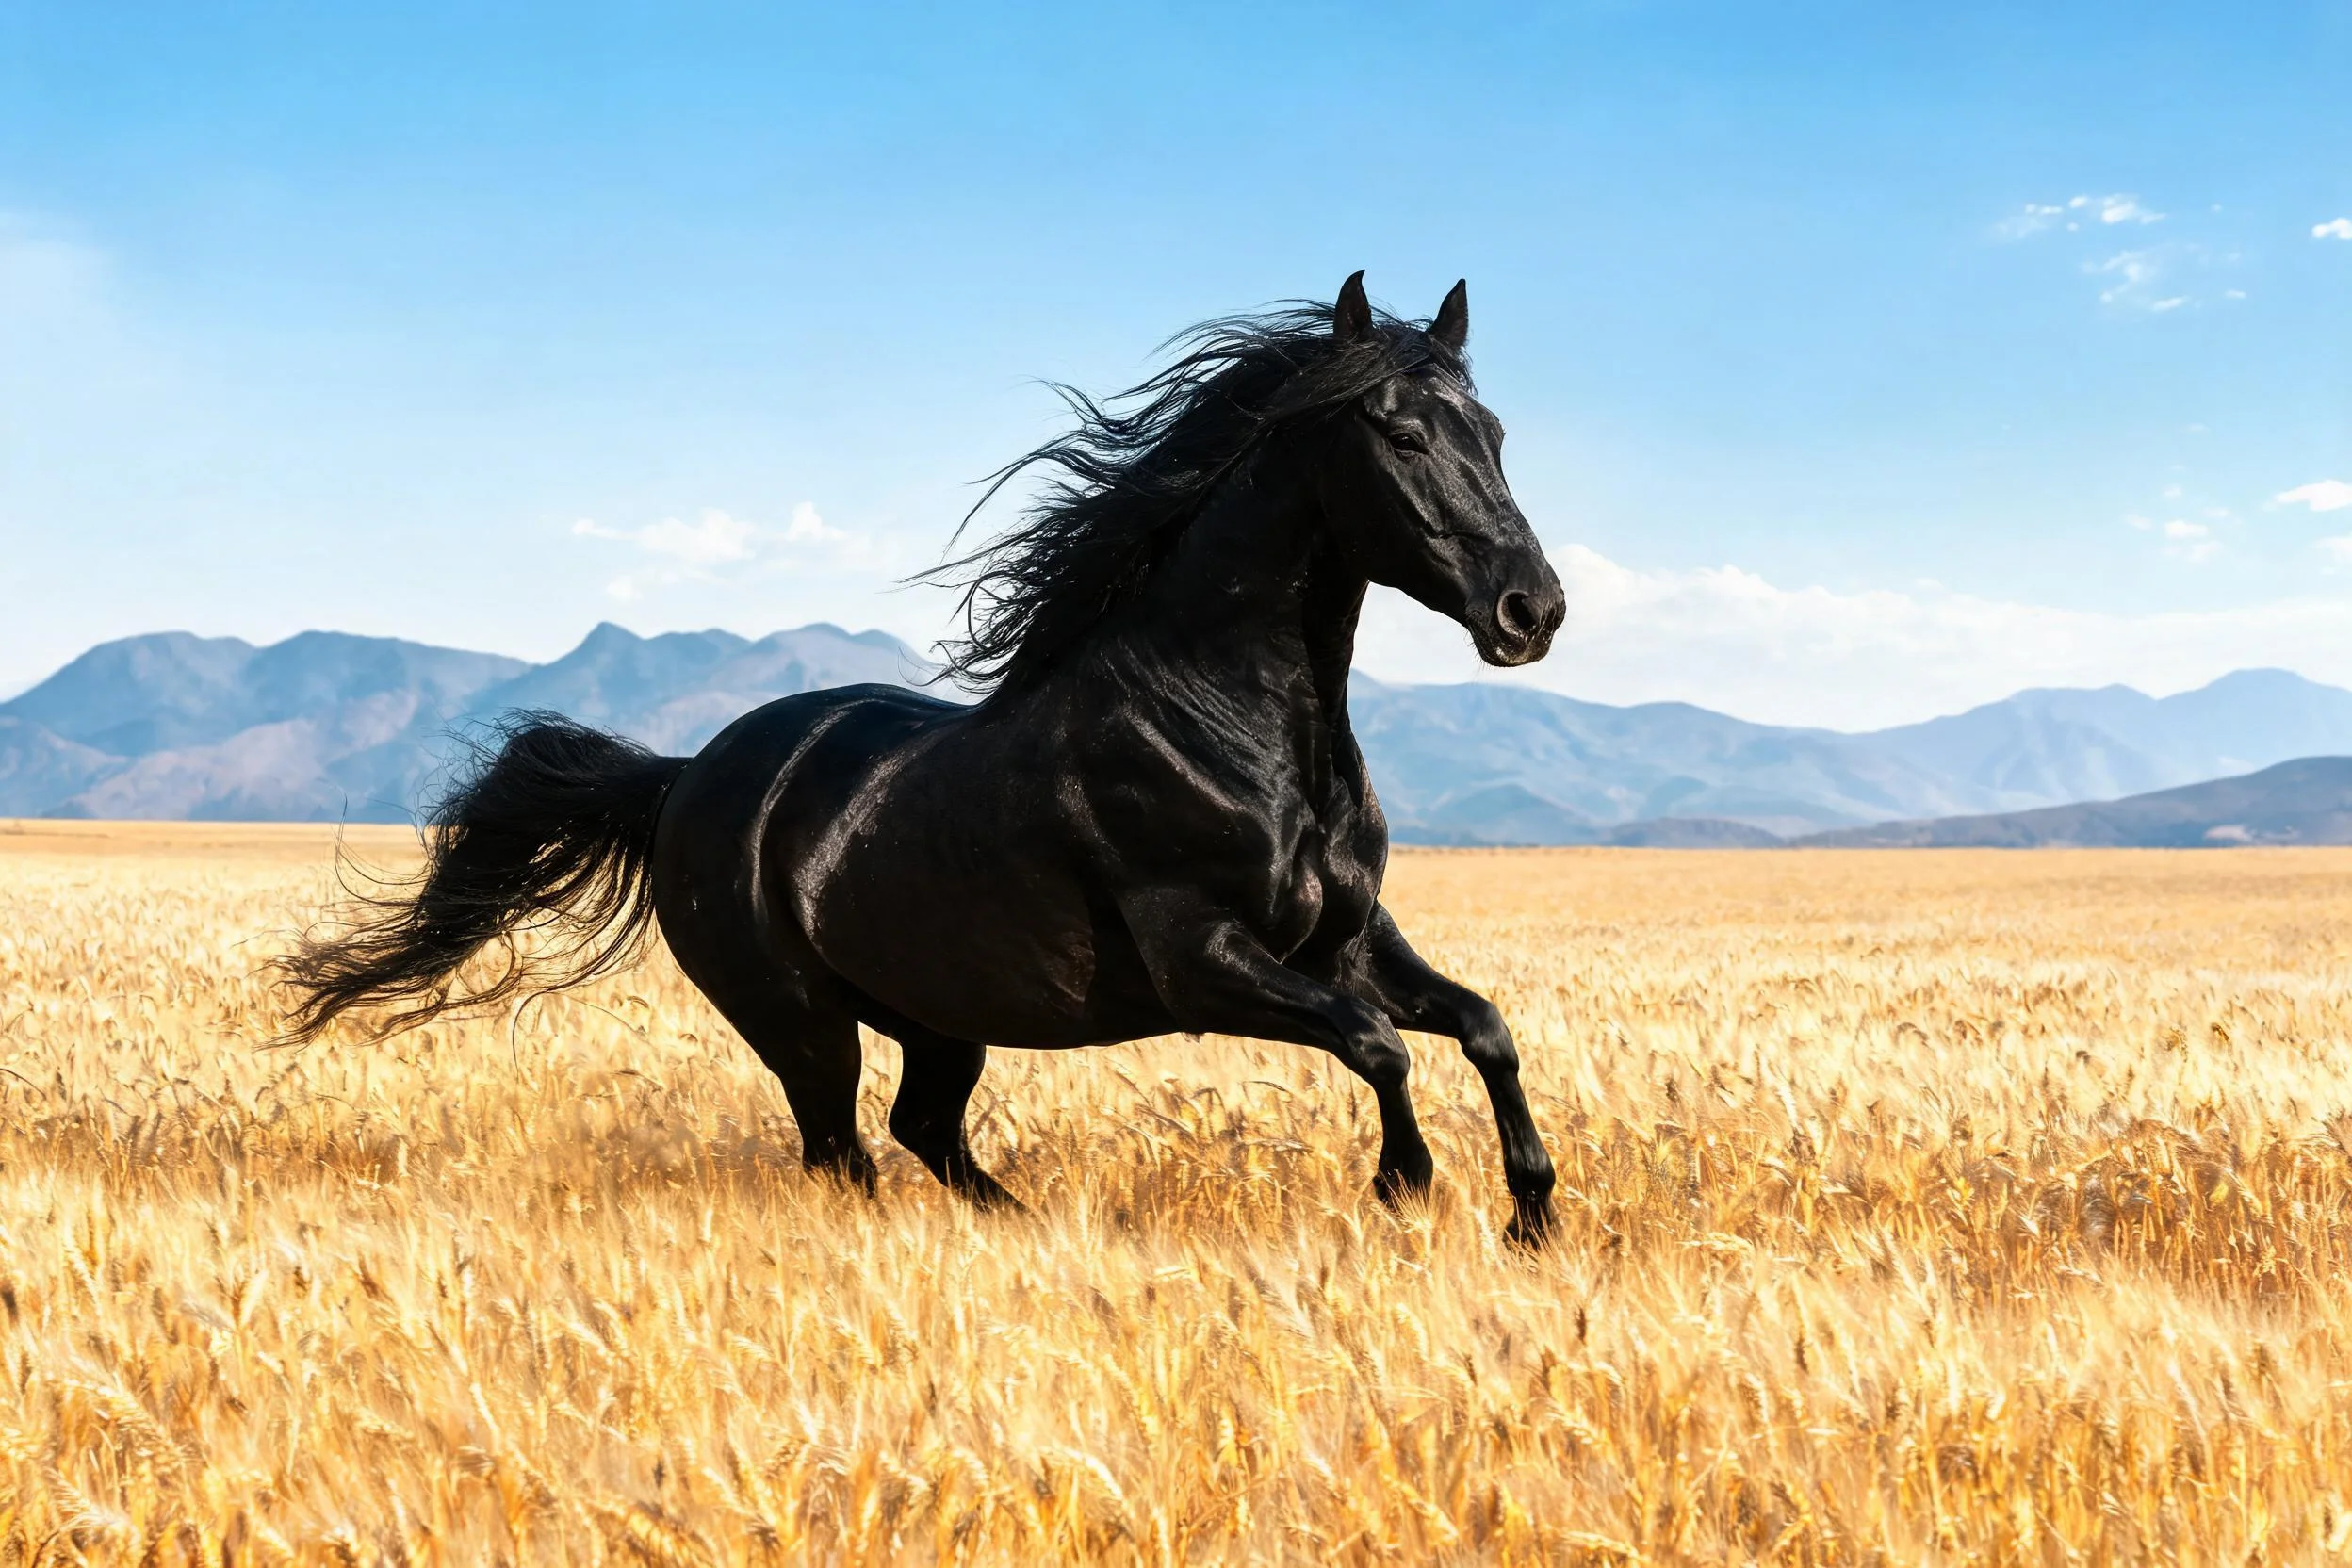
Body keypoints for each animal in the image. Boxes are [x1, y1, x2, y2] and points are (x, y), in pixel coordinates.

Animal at [279, 272, 1569, 1243]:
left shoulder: (1349, 939)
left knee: (923, 1133)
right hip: (801, 1023)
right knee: (843, 1149)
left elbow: (1481, 1026)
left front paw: (1531, 1214)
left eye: (1497, 434)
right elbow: (1380, 1045)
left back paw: (1026, 1225)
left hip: (940, 1012)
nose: (1532, 610)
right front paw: (1404, 1186)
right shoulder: (1202, 960)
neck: (1230, 729)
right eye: (1400, 432)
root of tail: (684, 776)